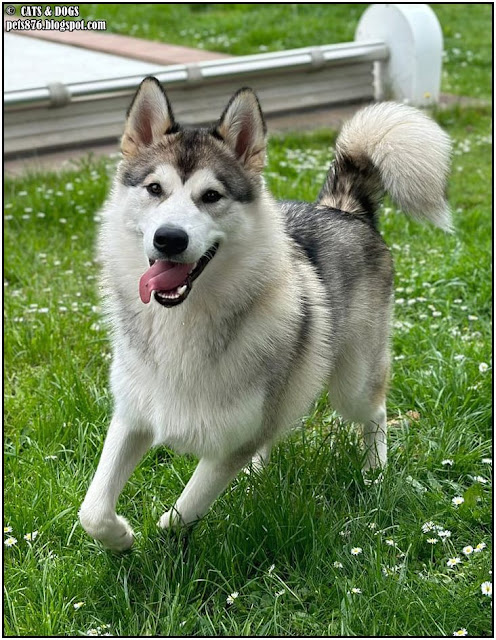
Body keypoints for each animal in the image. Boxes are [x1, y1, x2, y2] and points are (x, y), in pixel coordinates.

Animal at [79, 77, 452, 552]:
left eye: (211, 196)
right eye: (154, 189)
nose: (169, 238)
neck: (183, 322)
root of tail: (343, 208)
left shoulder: (236, 437)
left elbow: (188, 506)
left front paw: (161, 537)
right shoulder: (132, 414)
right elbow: (92, 510)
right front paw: (120, 539)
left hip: (353, 384)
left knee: (377, 414)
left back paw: (374, 472)